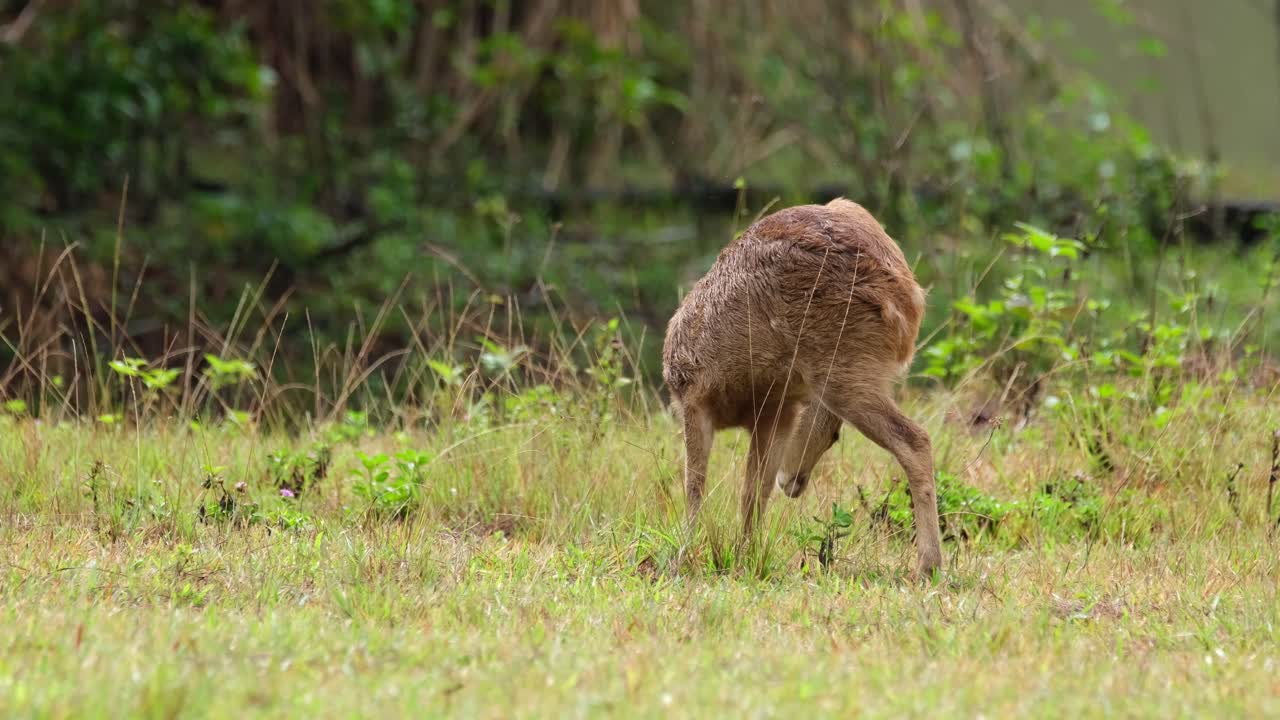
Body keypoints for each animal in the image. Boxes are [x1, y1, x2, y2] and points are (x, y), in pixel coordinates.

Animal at [662, 198, 942, 576]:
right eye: (835, 437)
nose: (793, 482)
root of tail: (908, 297)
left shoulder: (693, 398)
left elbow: (695, 485)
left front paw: (682, 555)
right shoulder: (777, 411)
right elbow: (753, 491)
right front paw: (747, 556)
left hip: (841, 364)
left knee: (915, 440)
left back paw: (928, 565)